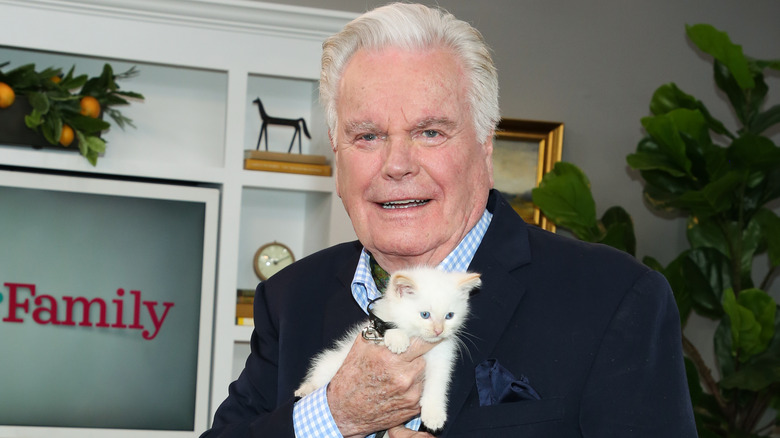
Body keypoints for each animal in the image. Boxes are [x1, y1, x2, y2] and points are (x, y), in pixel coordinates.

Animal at [294, 266, 482, 432]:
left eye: (449, 316)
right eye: (425, 315)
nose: (439, 330)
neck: (417, 337)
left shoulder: (442, 355)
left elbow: (438, 381)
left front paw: (434, 413)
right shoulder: (373, 332)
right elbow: (385, 330)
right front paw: (397, 337)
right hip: (332, 364)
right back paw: (305, 389)